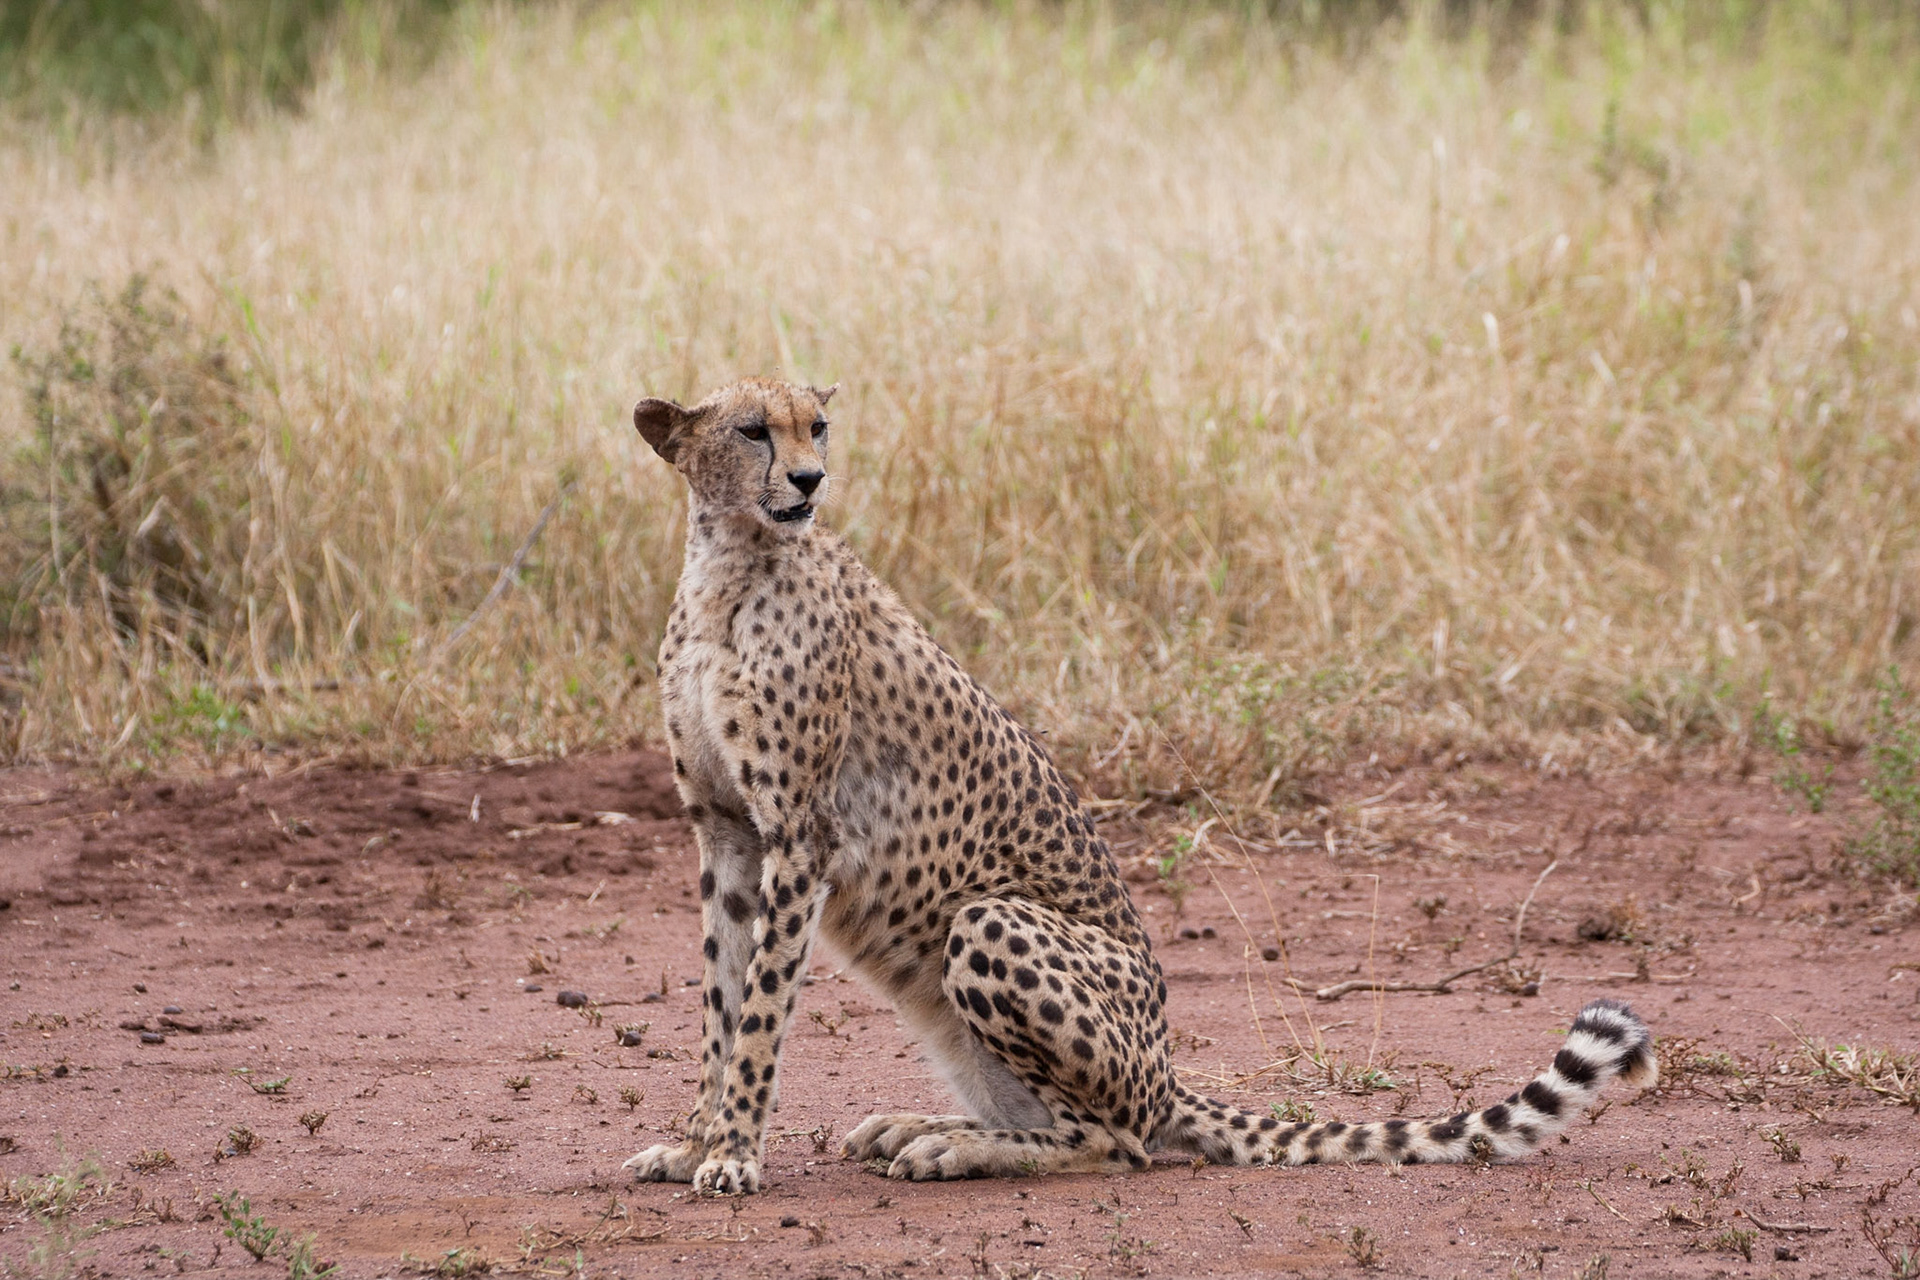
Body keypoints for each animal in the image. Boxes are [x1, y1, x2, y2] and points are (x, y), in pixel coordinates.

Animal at [620, 375, 1656, 1194]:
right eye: (754, 430)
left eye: (817, 427)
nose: (809, 480)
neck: (730, 564)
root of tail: (1164, 1071)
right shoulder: (727, 831)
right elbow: (721, 1001)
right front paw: (698, 1142)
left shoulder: (801, 834)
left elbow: (759, 1013)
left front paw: (735, 1154)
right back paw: (926, 1125)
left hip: (989, 924)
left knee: (1116, 1141)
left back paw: (954, 1146)